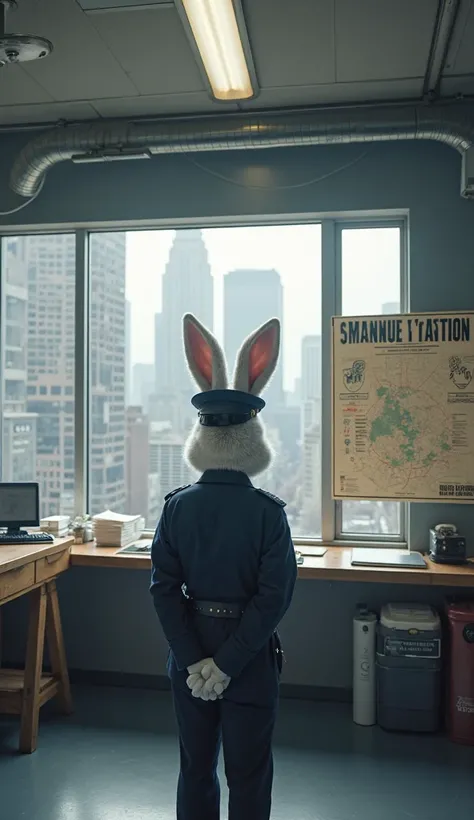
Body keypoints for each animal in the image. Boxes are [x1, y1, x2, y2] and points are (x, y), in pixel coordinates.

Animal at [150, 312, 296, 820]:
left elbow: (163, 584)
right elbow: (275, 590)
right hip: (259, 690)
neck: (224, 478)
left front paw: (207, 674)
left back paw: (205, 675)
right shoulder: (278, 533)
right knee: (250, 772)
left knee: (195, 768)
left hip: (181, 688)